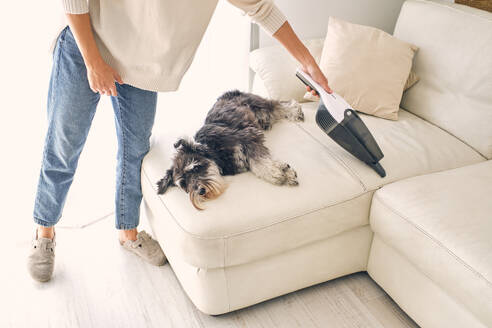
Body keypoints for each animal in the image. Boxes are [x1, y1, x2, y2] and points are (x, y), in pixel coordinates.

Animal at [157, 89, 304, 209]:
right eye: (184, 184)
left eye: (196, 167)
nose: (201, 191)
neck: (214, 151)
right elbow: (257, 165)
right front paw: (283, 173)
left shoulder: (249, 138)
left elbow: (260, 163)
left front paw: (279, 174)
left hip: (259, 104)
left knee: (278, 105)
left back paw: (295, 110)